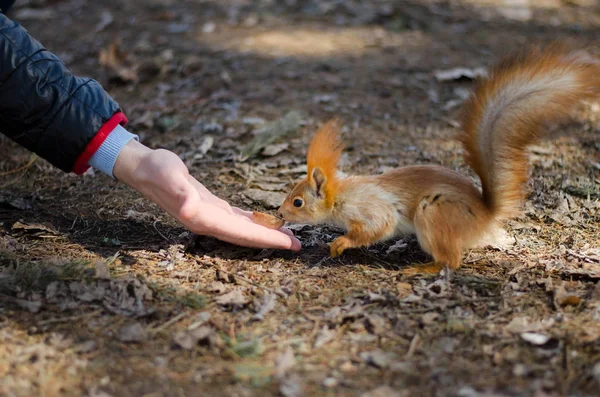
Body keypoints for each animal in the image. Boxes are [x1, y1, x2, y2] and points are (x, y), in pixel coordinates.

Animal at [276, 43, 600, 272]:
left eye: (298, 202)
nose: (279, 214)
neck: (340, 195)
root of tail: (485, 215)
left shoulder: (370, 208)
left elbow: (378, 227)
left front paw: (341, 243)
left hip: (434, 214)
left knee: (451, 261)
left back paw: (422, 270)